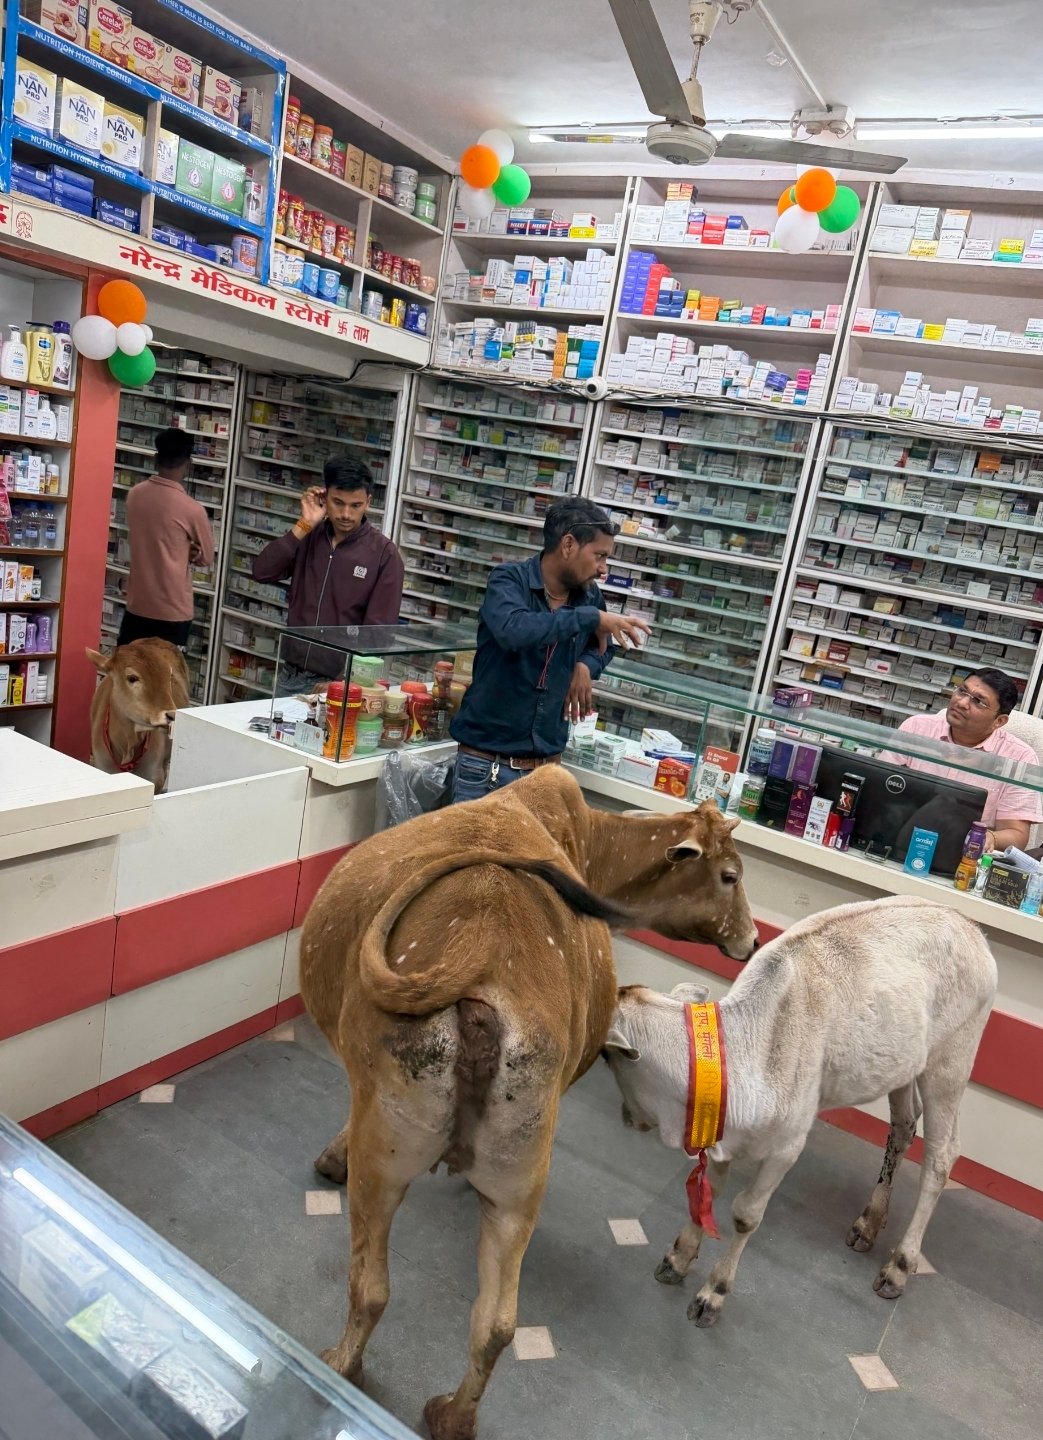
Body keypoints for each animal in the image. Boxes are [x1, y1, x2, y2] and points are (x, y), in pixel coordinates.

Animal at [299, 765, 758, 1440]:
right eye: (729, 875)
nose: (750, 940)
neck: (593, 845)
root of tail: (477, 957)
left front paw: (331, 1157)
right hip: (521, 1174)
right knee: (496, 1324)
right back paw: (453, 1416)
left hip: (387, 1152)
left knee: (371, 1284)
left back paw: (341, 1364)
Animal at [601, 895, 997, 1330]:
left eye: (604, 1056)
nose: (626, 1116)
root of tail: (968, 923)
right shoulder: (723, 1132)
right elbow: (711, 1192)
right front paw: (678, 1258)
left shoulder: (786, 1147)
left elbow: (746, 1214)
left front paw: (713, 1293)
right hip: (904, 1067)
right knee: (903, 1128)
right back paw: (869, 1223)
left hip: (950, 1064)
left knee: (941, 1157)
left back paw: (900, 1265)